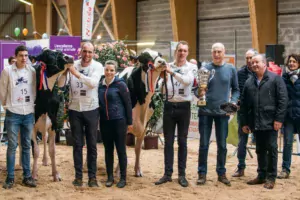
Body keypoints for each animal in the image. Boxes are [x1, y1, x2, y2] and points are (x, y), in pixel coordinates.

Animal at [119, 48, 166, 177]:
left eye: (160, 55)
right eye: (144, 58)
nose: (162, 62)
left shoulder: (145, 125)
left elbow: (138, 149)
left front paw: (138, 170)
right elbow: (121, 149)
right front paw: (119, 171)